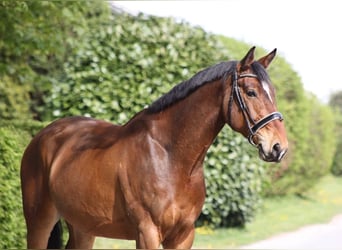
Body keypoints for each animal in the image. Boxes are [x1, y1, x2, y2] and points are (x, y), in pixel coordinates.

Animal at [21, 47, 288, 248]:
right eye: (251, 92)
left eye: (273, 93)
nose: (278, 147)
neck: (171, 157)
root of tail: (42, 136)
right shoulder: (147, 232)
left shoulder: (183, 235)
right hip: (39, 222)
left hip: (83, 226)